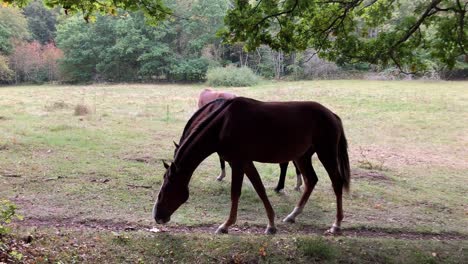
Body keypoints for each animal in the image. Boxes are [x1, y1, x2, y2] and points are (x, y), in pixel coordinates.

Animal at [154, 97, 352, 235]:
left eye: (166, 189)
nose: (157, 216)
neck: (223, 124)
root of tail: (332, 115)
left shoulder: (238, 163)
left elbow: (235, 193)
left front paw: (225, 225)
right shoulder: (245, 163)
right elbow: (260, 189)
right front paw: (271, 225)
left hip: (326, 154)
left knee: (336, 183)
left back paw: (336, 225)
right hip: (302, 157)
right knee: (311, 181)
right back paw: (292, 215)